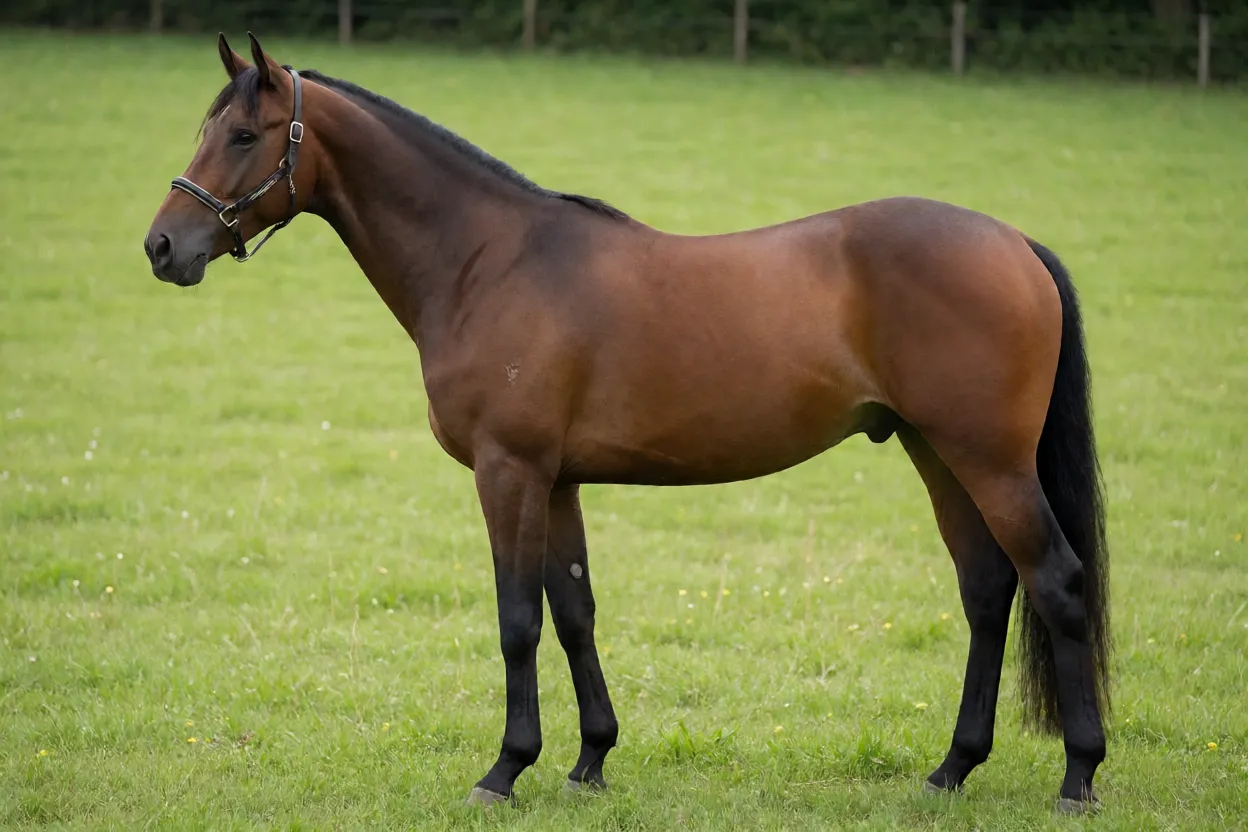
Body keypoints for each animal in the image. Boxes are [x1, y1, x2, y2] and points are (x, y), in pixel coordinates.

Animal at [143, 33, 1112, 814]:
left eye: (244, 136)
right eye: (204, 130)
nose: (161, 247)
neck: (488, 262)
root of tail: (1016, 243)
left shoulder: (509, 471)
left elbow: (518, 619)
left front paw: (505, 770)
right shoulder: (557, 479)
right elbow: (574, 610)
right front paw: (590, 762)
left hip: (990, 462)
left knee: (1057, 582)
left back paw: (1078, 776)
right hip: (936, 455)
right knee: (987, 589)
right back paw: (952, 769)